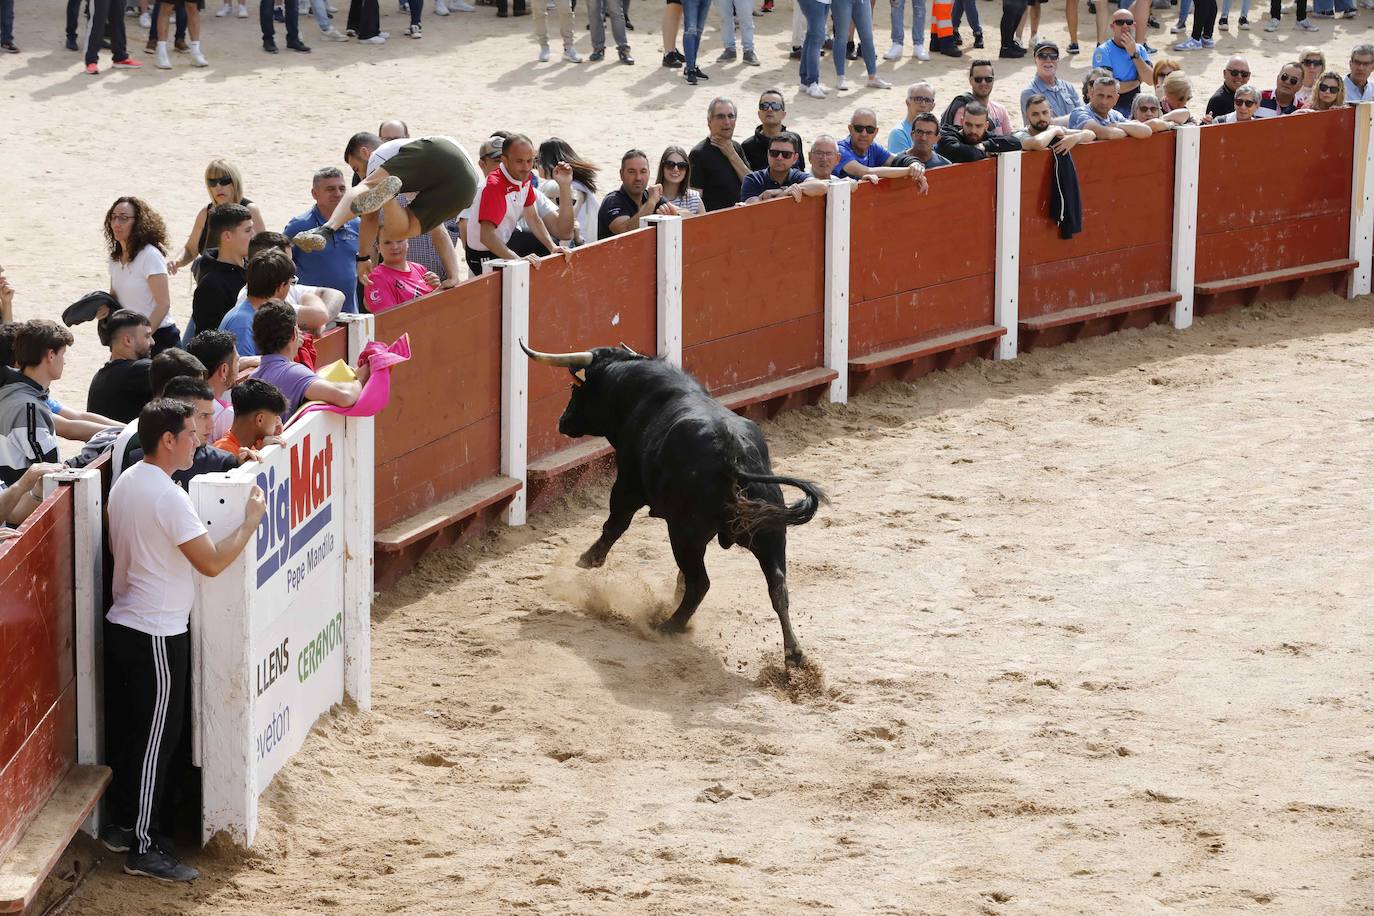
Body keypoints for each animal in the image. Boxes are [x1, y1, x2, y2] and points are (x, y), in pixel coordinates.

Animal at [522, 343, 824, 667]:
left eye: (575, 389)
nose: (562, 421)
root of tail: (733, 455)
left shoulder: (627, 482)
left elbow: (616, 522)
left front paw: (589, 559)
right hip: (770, 533)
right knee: (777, 586)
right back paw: (793, 654)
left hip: (684, 532)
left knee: (701, 583)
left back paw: (668, 626)